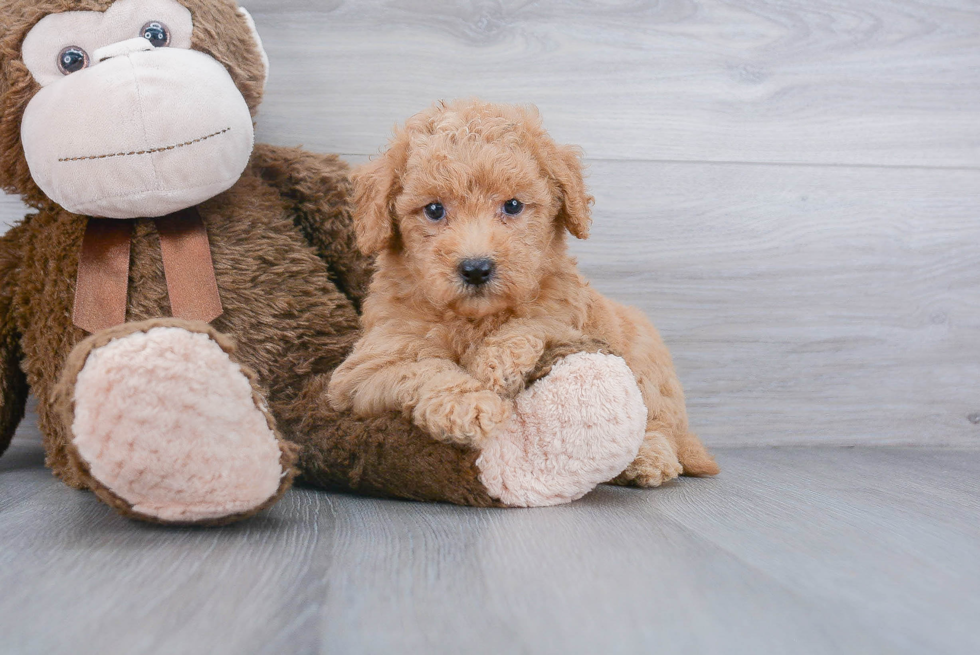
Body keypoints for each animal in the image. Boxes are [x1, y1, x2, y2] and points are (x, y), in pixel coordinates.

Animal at [330, 98, 720, 486]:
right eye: (434, 210)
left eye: (513, 205)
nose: (476, 268)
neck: (474, 319)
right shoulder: (363, 370)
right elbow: (423, 368)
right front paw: (468, 405)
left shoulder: (570, 322)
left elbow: (534, 323)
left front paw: (493, 363)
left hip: (644, 365)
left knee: (657, 423)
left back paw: (649, 459)